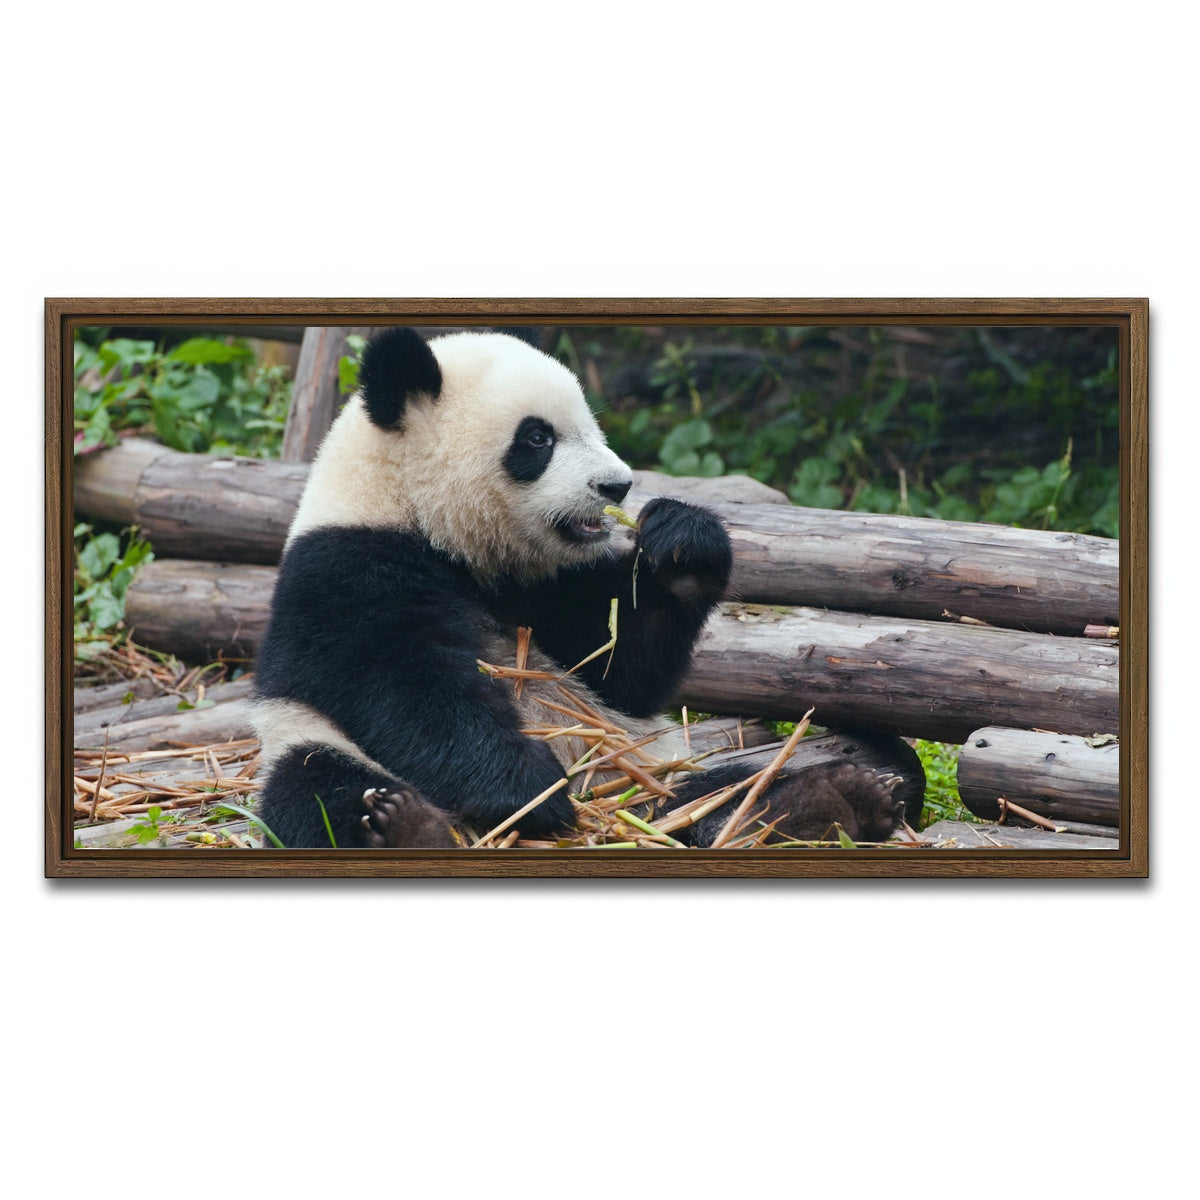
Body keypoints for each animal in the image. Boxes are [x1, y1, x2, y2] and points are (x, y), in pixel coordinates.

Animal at [251, 327, 908, 849]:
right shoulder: (345, 568)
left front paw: (683, 547)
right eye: (537, 438)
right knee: (319, 786)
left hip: (647, 768)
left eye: (590, 425)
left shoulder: (544, 586)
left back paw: (826, 801)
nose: (617, 486)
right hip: (303, 739)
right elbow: (405, 685)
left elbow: (619, 666)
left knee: (724, 787)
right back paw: (405, 826)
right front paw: (528, 789)